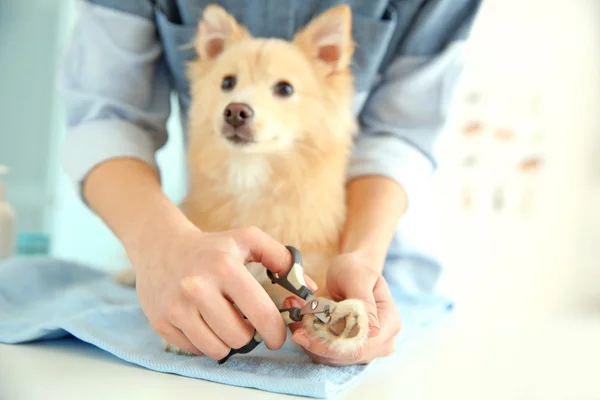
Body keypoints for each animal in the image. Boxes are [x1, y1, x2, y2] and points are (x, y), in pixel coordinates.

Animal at [119, 2, 368, 360]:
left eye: (284, 89)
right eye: (227, 82)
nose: (236, 110)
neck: (250, 177)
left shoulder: (313, 267)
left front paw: (340, 316)